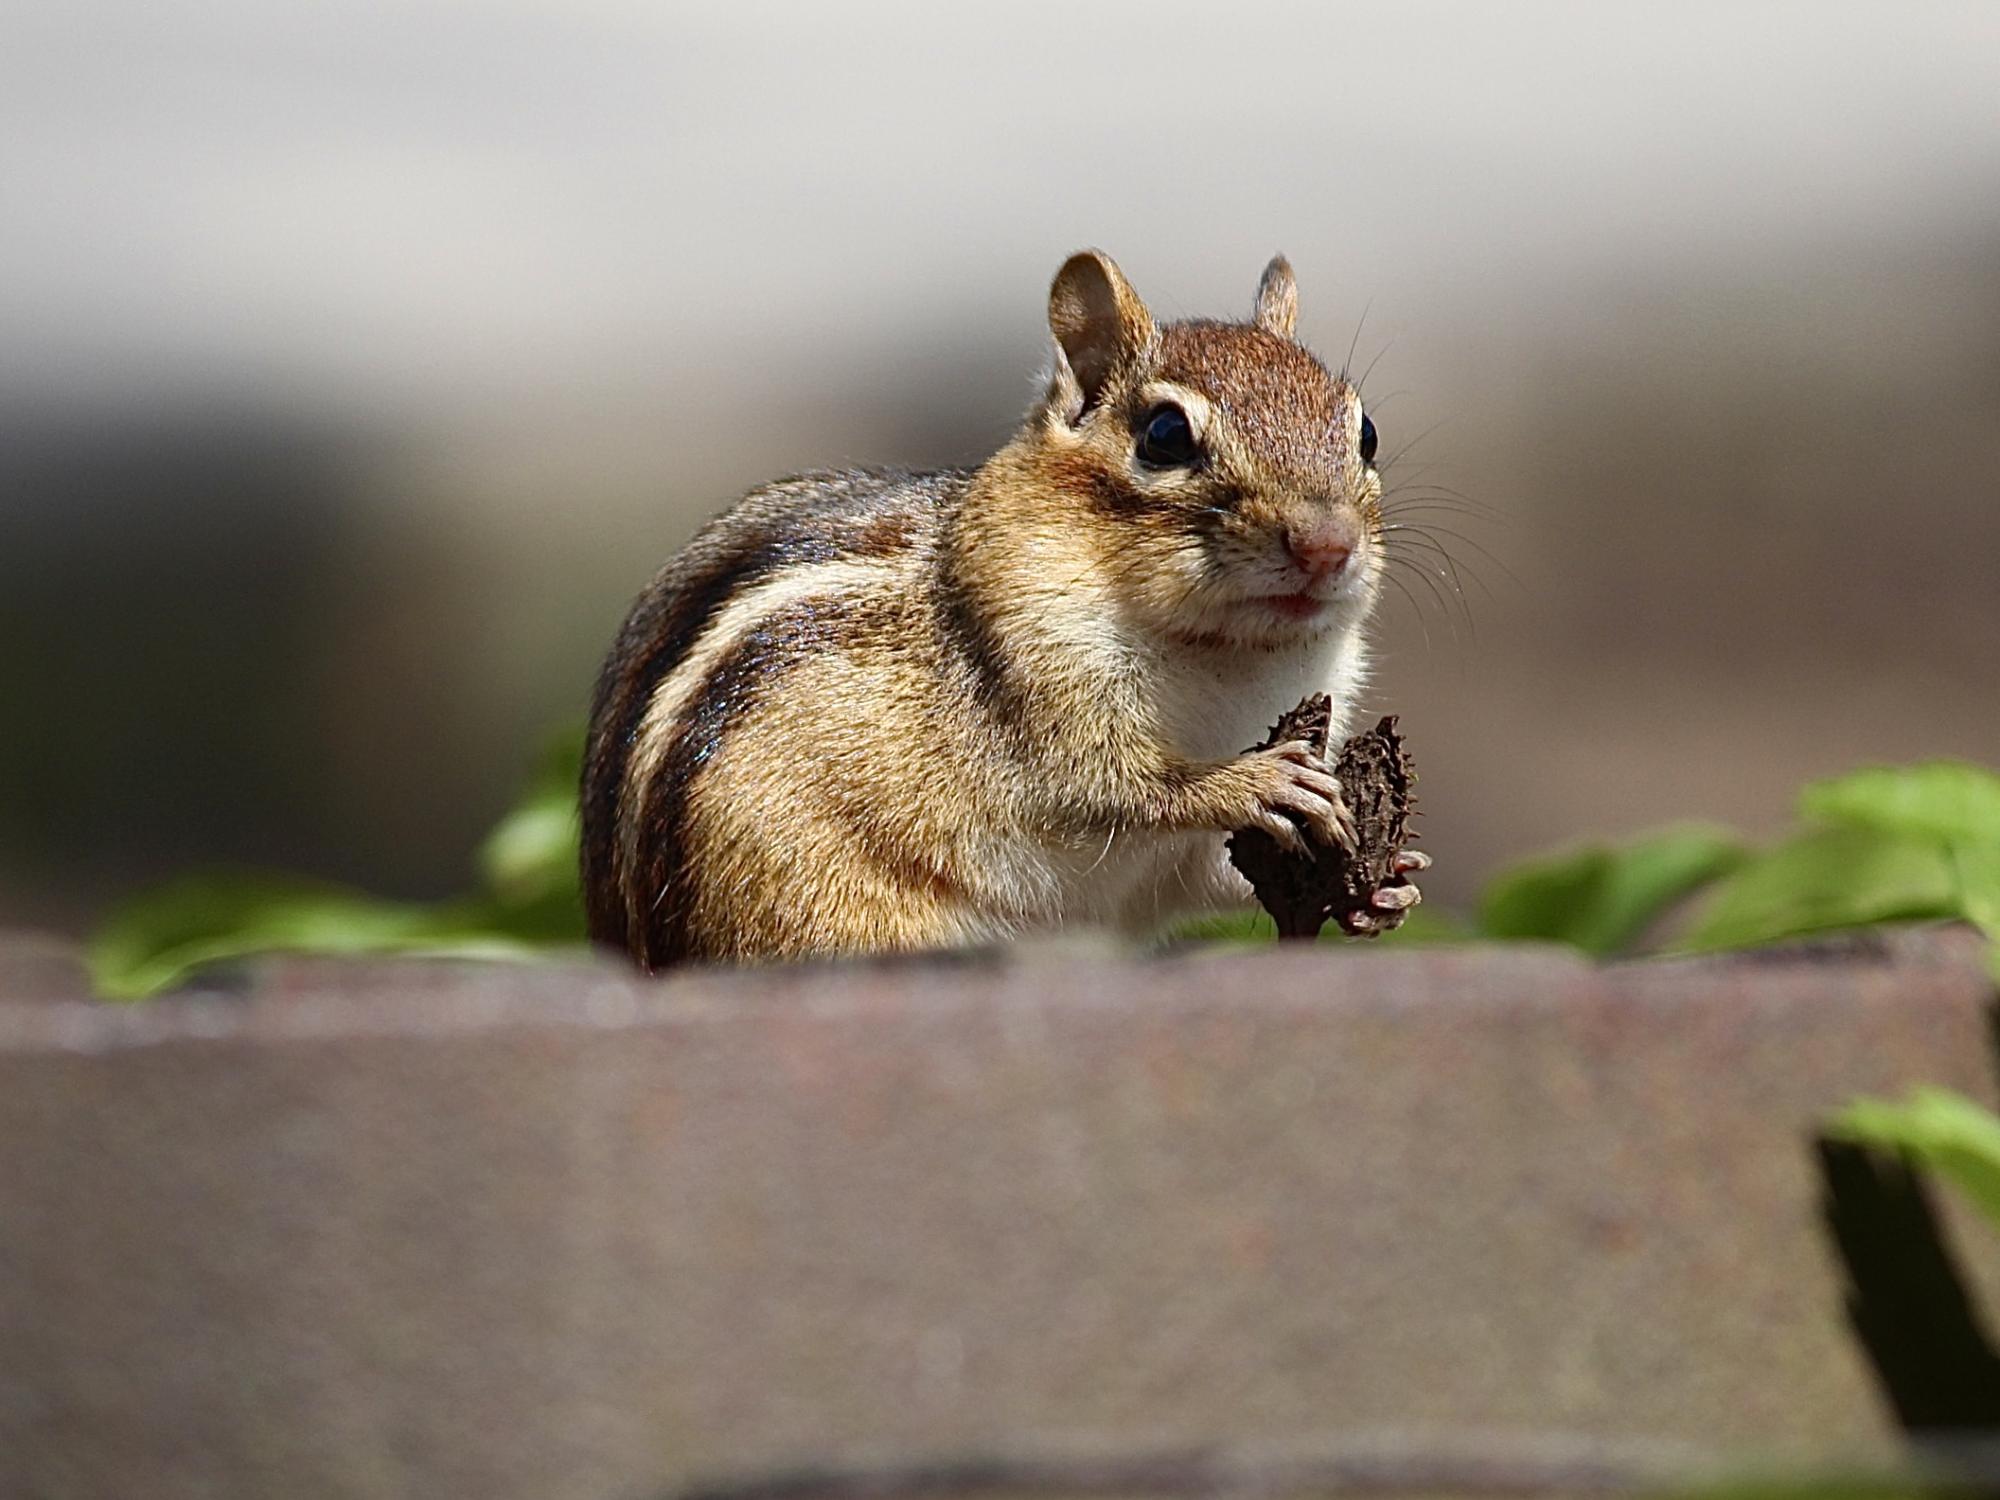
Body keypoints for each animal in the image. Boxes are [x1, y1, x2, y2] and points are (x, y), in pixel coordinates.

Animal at [581, 249, 1427, 970]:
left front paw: (1392, 881)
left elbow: (1202, 872)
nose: (1327, 545)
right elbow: (1110, 787)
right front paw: (1254, 782)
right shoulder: (1031, 670)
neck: (1226, 656)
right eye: (1164, 435)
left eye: (1366, 432)